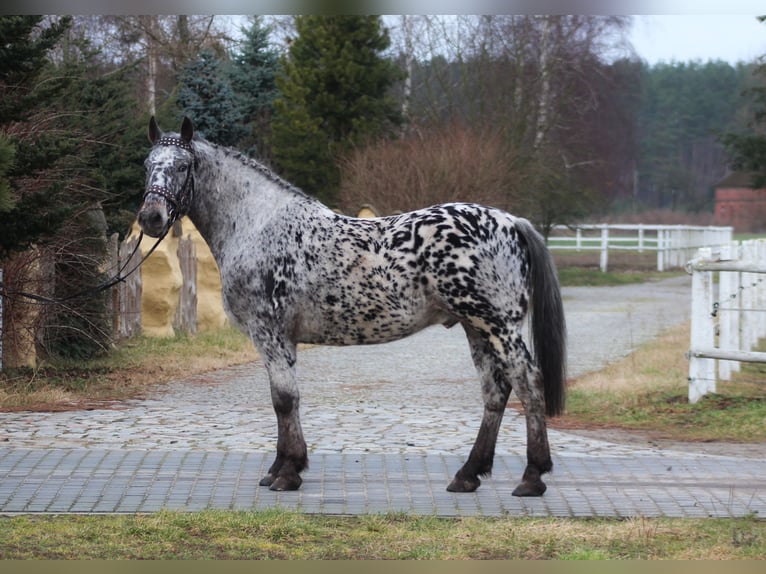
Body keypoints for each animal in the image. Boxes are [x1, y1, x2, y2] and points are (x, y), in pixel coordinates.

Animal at [138, 118, 568, 500]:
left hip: (498, 326)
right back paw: (468, 474)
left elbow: (284, 399)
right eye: (147, 164)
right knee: (496, 391)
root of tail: (511, 222)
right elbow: (283, 401)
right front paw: (280, 468)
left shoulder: (271, 333)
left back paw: (532, 477)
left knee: (528, 383)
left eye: (182, 166)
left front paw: (288, 473)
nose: (151, 217)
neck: (258, 225)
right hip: (476, 327)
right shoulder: (279, 339)